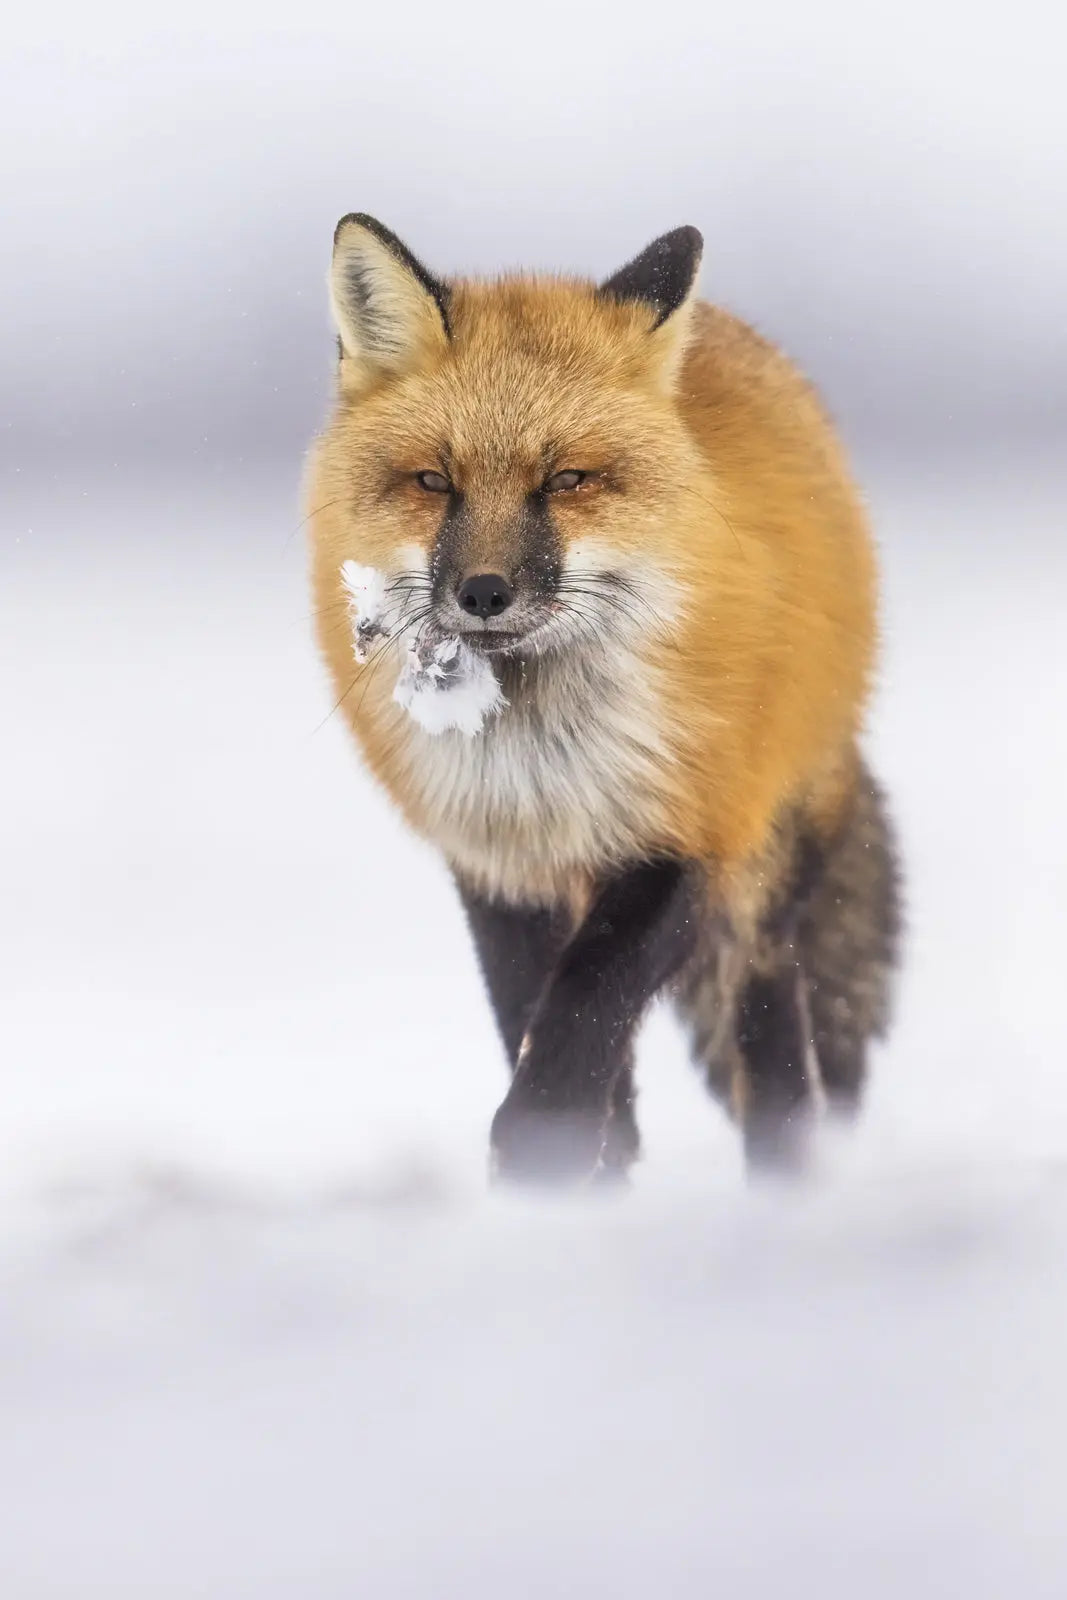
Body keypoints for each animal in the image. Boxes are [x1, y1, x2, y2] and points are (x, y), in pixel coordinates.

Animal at [306, 214, 900, 1185]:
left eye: (566, 481)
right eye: (433, 482)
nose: (482, 593)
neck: (544, 753)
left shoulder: (689, 829)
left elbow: (586, 1000)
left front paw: (539, 1146)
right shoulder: (498, 860)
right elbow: (537, 1012)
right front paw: (570, 1179)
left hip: (763, 876)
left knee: (772, 1038)